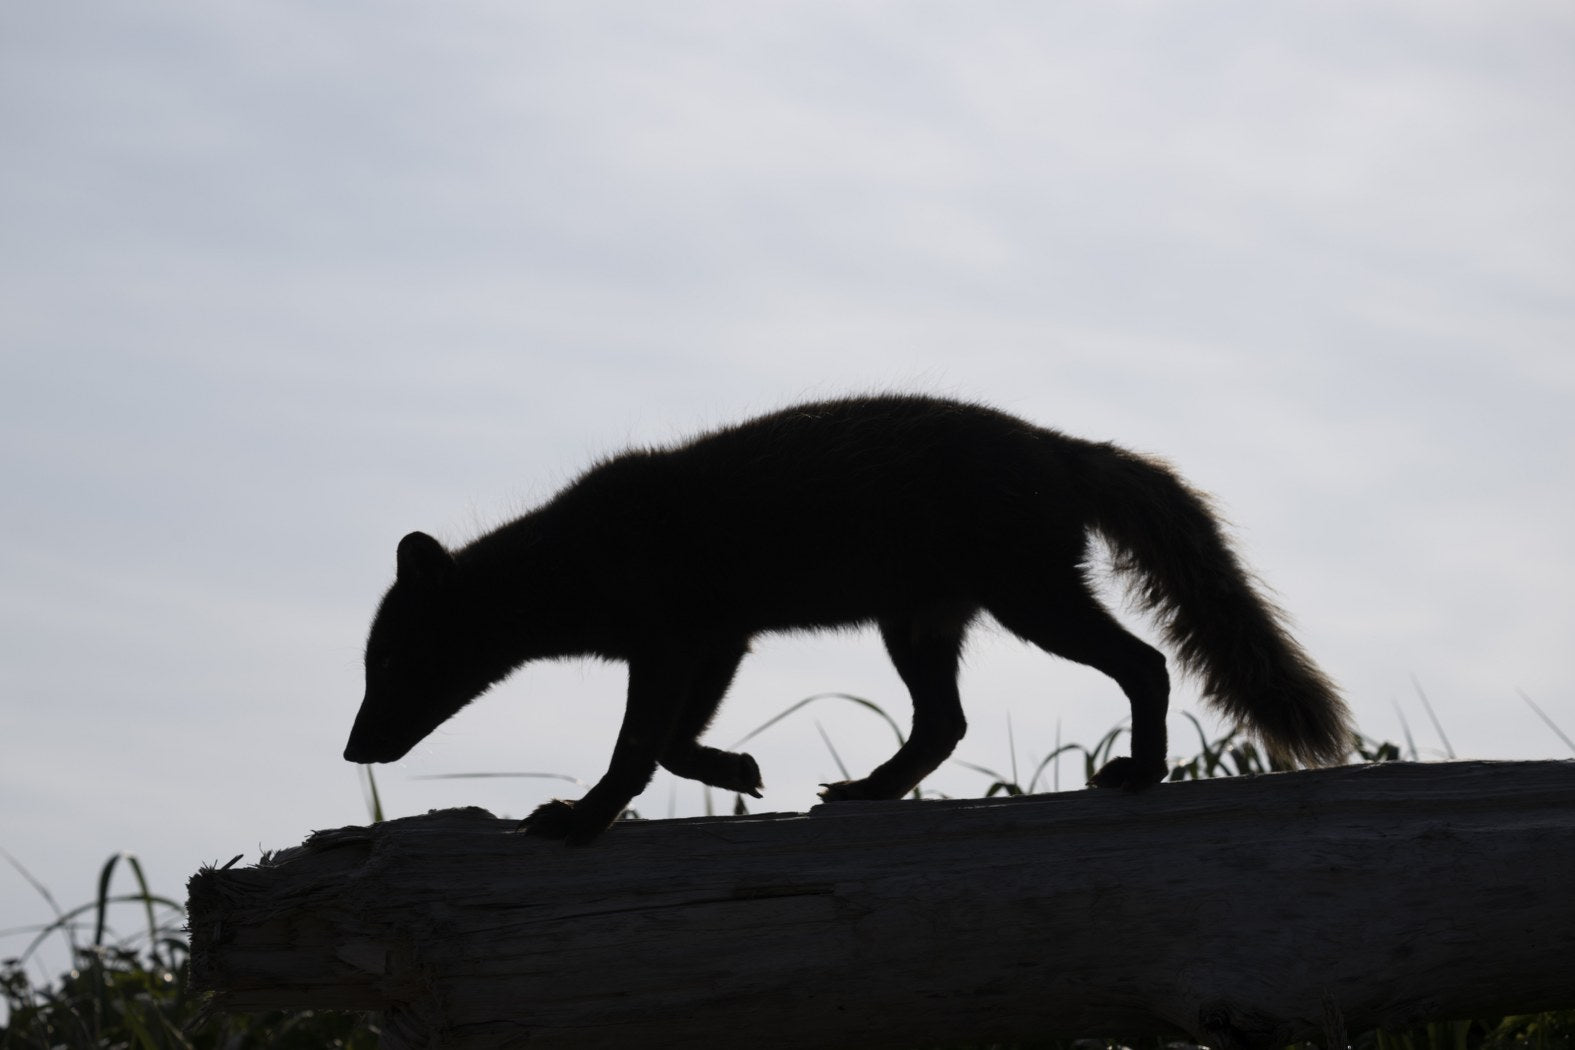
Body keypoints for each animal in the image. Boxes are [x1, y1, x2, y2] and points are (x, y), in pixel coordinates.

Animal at [344, 394, 1352, 845]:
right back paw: (868, 790)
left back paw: (1139, 774)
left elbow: (637, 750)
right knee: (944, 724)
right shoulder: (718, 642)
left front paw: (580, 819)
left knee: (1144, 664)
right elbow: (674, 747)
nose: (354, 751)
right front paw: (738, 771)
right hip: (918, 628)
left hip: (1030, 604)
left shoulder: (671, 643)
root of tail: (1063, 445)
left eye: (389, 661)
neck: (576, 557)